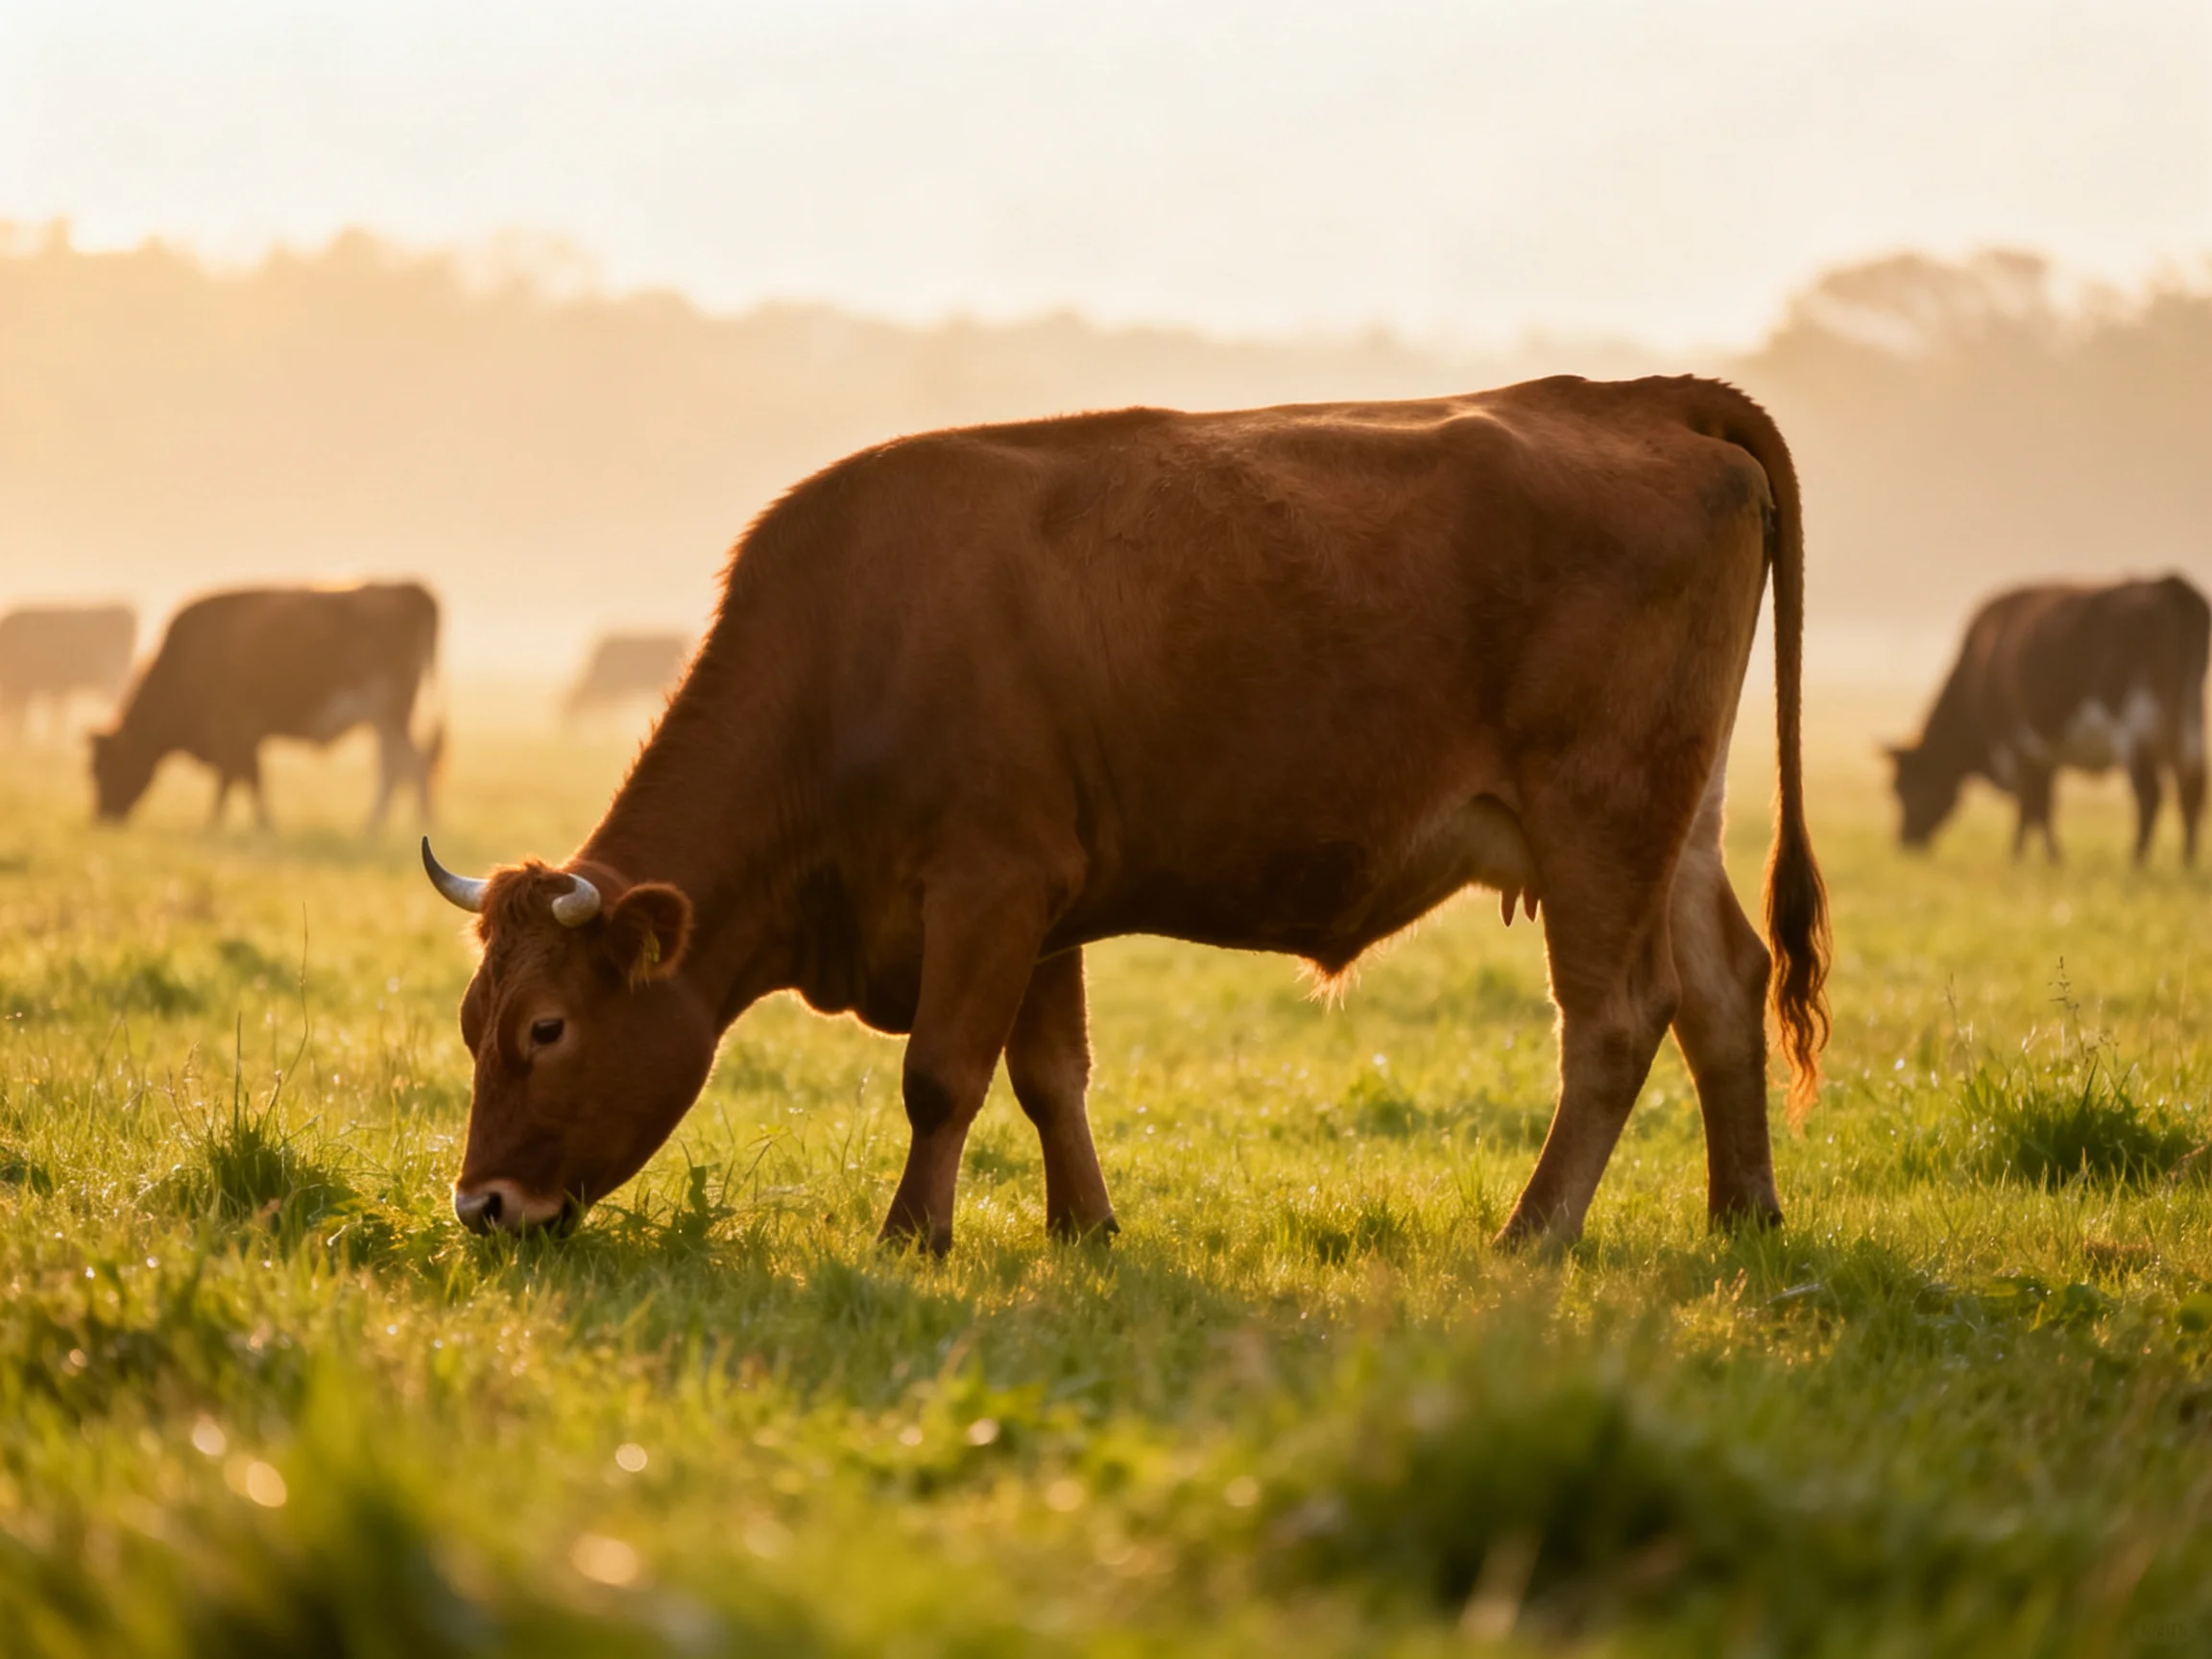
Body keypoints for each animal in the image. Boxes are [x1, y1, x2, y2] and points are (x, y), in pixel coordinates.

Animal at [92, 582, 443, 832]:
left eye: (104, 768)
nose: (102, 816)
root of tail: (410, 590)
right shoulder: (243, 736)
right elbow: (245, 778)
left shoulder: (232, 730)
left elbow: (238, 779)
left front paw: (222, 825)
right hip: (386, 718)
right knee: (397, 765)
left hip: (390, 712)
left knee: (407, 764)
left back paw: (397, 824)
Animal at [1887, 576, 2209, 864]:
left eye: (1904, 787)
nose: (1905, 841)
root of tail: (2169, 585)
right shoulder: (2042, 756)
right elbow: (2041, 806)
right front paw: (2050, 858)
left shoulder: (2015, 747)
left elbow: (2030, 806)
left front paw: (2021, 858)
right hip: (2188, 720)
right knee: (2191, 787)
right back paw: (2187, 862)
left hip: (2135, 726)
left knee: (2150, 794)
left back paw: (2137, 861)